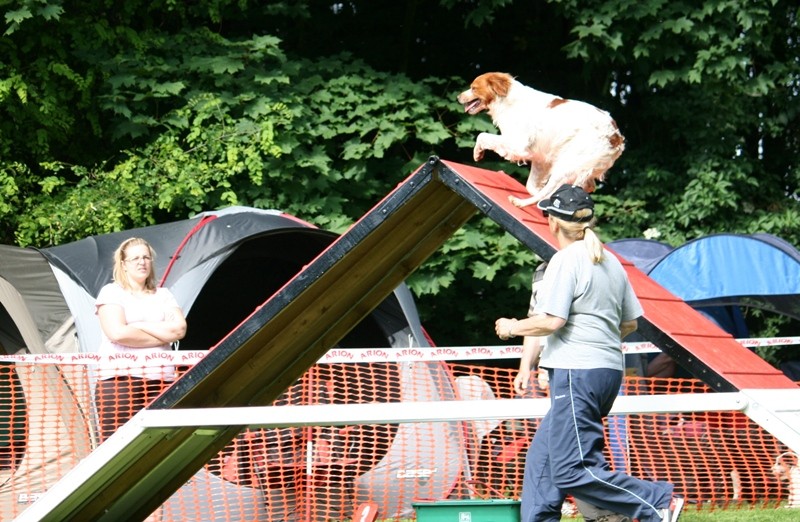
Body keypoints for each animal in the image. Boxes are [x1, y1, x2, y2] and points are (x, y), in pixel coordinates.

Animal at [456, 72, 624, 206]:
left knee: (550, 191)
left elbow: (483, 135)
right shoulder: (540, 158)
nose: (458, 97)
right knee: (586, 186)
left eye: (473, 88)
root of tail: (616, 138)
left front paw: (478, 153)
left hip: (565, 167)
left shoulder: (518, 144)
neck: (507, 100)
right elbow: (531, 185)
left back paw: (520, 203)